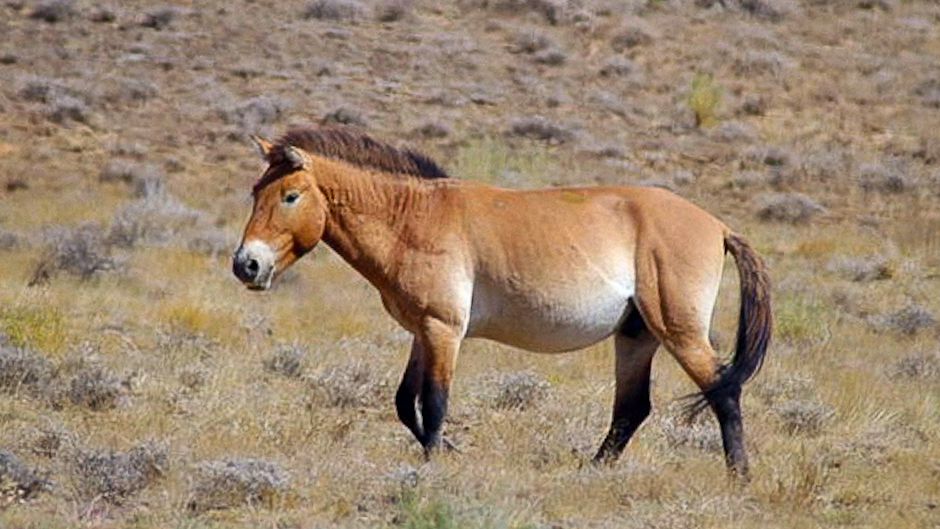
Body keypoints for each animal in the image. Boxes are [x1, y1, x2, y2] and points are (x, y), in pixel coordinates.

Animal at [233, 124, 772, 474]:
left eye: (290, 196)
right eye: (255, 190)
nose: (247, 265)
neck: (413, 219)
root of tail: (718, 226)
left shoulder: (443, 330)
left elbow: (434, 402)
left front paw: (434, 467)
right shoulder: (423, 331)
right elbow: (406, 403)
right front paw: (448, 452)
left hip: (679, 331)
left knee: (722, 392)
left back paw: (738, 477)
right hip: (636, 335)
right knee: (632, 409)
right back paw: (593, 470)